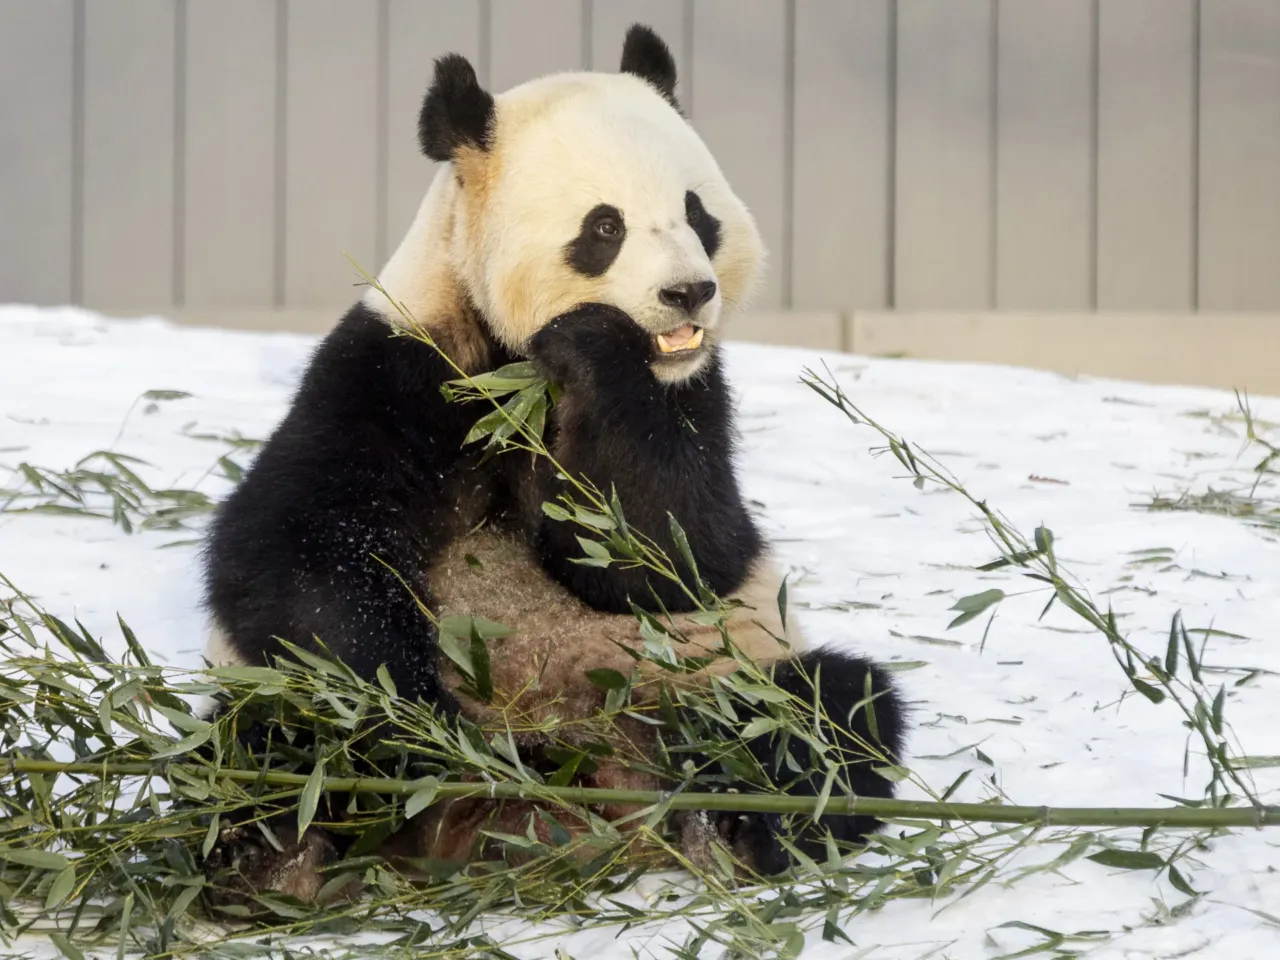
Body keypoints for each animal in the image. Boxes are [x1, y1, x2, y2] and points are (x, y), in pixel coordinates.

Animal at [200, 24, 906, 901]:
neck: (524, 372)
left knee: (831, 709)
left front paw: (597, 349)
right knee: (268, 741)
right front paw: (420, 725)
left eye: (696, 211)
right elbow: (299, 550)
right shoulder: (402, 367)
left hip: (707, 679)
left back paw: (735, 823)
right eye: (605, 227)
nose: (689, 292)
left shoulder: (691, 397)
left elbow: (678, 552)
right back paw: (277, 855)